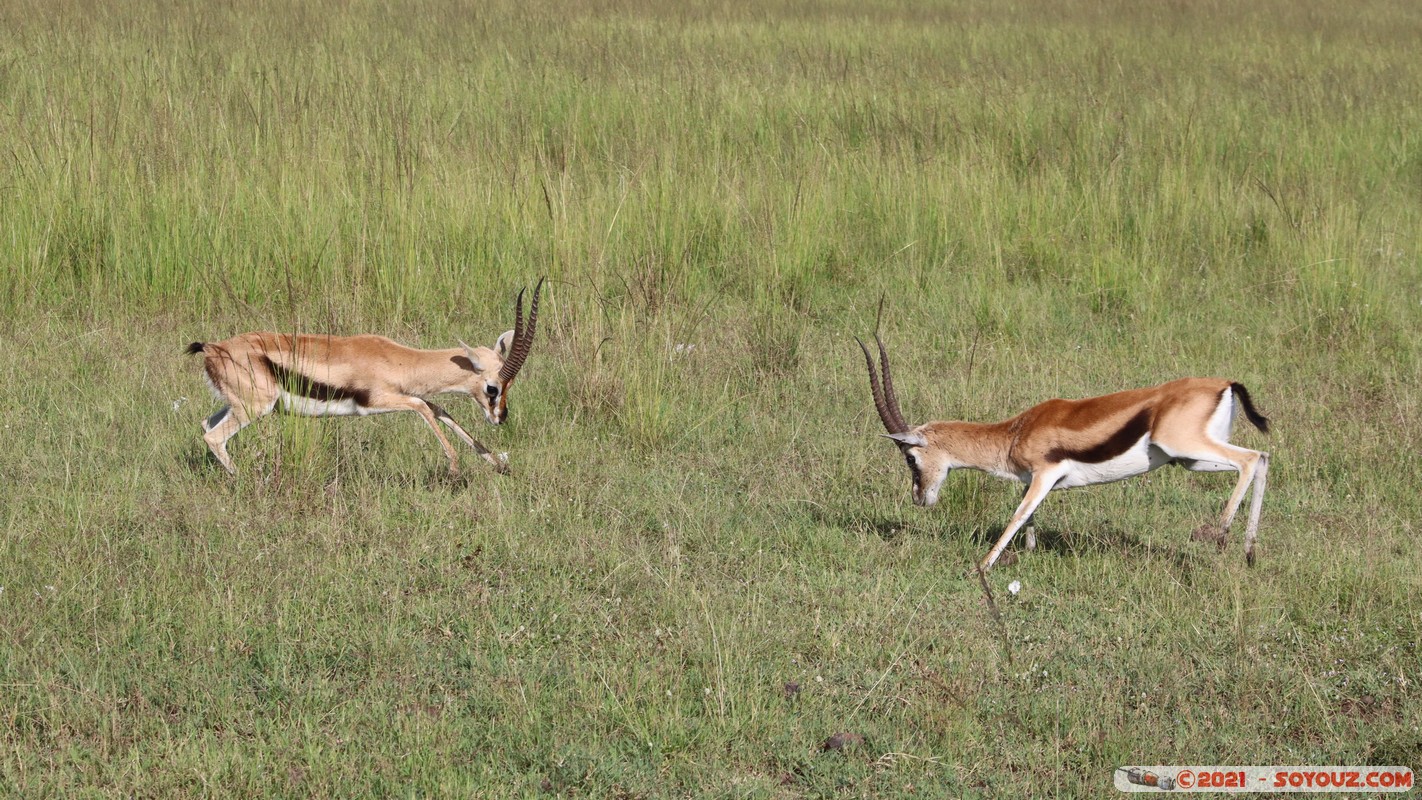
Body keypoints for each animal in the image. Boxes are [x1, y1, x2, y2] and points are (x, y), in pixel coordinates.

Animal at [187, 279, 543, 476]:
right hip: (256, 407)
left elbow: (439, 409)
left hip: (238, 405)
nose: (500, 417)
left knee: (206, 424)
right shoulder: (376, 402)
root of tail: (214, 348)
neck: (395, 358)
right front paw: (455, 468)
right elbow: (424, 408)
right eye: (492, 388)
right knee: (214, 437)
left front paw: (498, 463)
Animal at [857, 335, 1271, 573]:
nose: (919, 498)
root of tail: (1225, 383)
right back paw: (1249, 553)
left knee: (1250, 459)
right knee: (1263, 458)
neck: (1016, 432)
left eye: (910, 459)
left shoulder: (1044, 474)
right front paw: (1026, 554)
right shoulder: (1037, 481)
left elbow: (1017, 515)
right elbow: (1030, 518)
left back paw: (1221, 534)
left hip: (1187, 448)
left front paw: (983, 565)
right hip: (1193, 460)